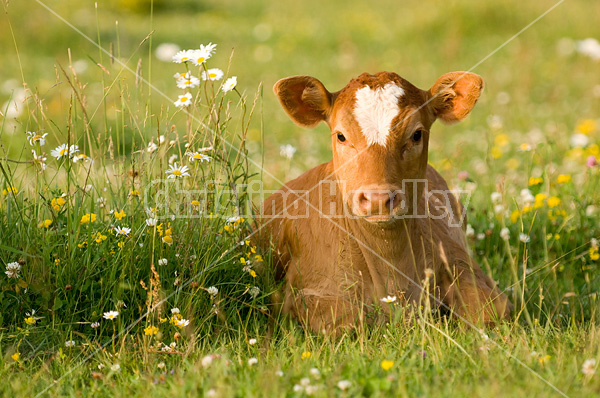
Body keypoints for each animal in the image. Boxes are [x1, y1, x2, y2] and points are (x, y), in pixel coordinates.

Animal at [256, 70, 510, 332]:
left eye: (416, 134)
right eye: (341, 136)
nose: (378, 199)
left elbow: (490, 309)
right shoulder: (306, 292)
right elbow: (344, 320)